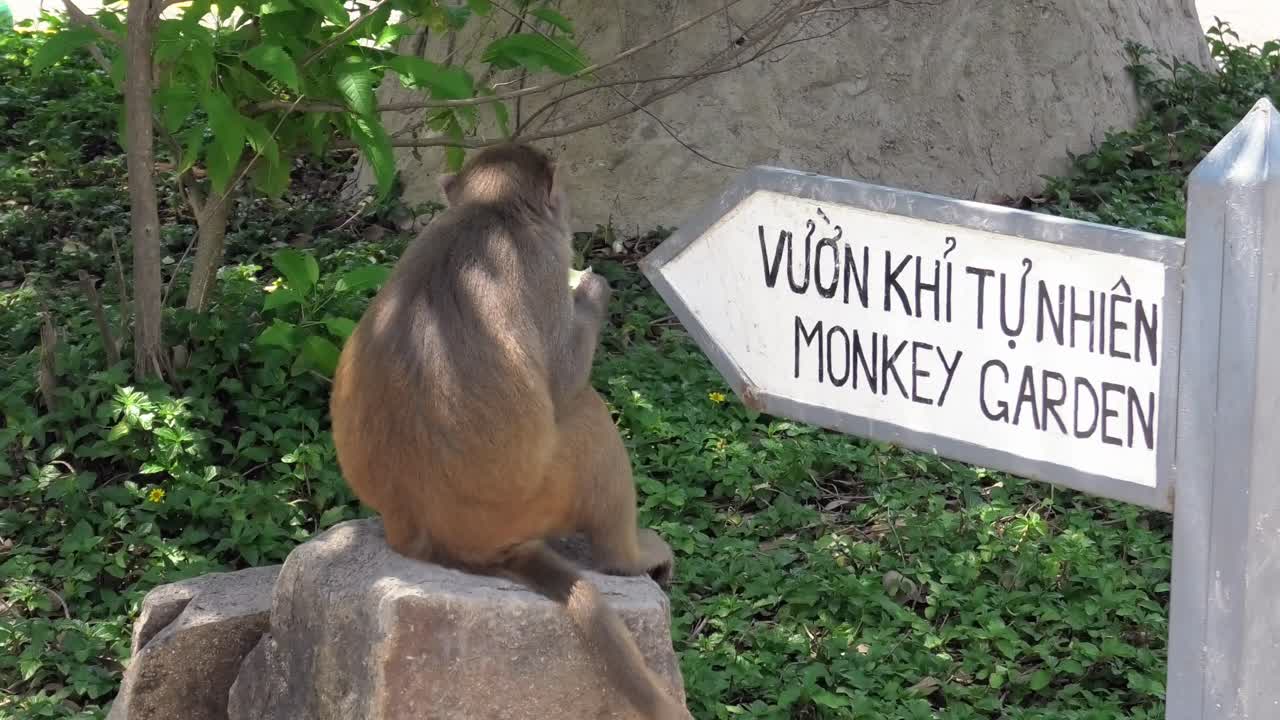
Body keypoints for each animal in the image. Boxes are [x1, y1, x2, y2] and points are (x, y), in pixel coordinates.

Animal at [329, 143, 690, 720]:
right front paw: (593, 288)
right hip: (540, 497)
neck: (489, 211)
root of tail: (439, 543)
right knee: (586, 416)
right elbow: (564, 380)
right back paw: (626, 558)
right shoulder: (543, 260)